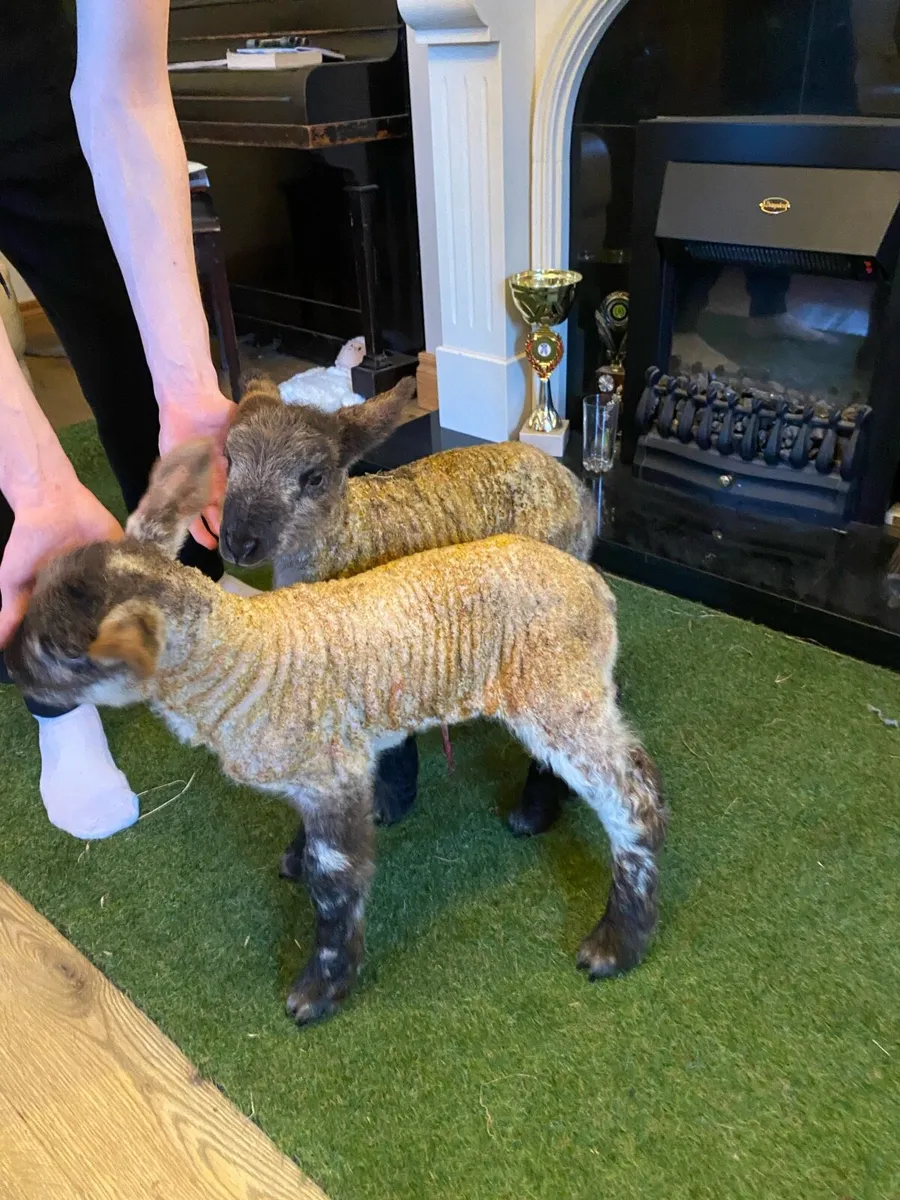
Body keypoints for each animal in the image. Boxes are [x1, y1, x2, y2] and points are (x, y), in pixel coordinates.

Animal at [6, 440, 668, 1026]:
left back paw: (616, 942)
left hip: (556, 680)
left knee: (633, 796)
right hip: (557, 684)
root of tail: (594, 585)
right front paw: (296, 859)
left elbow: (335, 884)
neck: (247, 655)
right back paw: (537, 815)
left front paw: (319, 991)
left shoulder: (333, 776)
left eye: (63, 653)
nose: (8, 666)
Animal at [220, 372, 596, 852]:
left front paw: (389, 802)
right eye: (228, 459)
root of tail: (580, 492)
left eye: (314, 477)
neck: (353, 534)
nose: (238, 542)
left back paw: (535, 809)